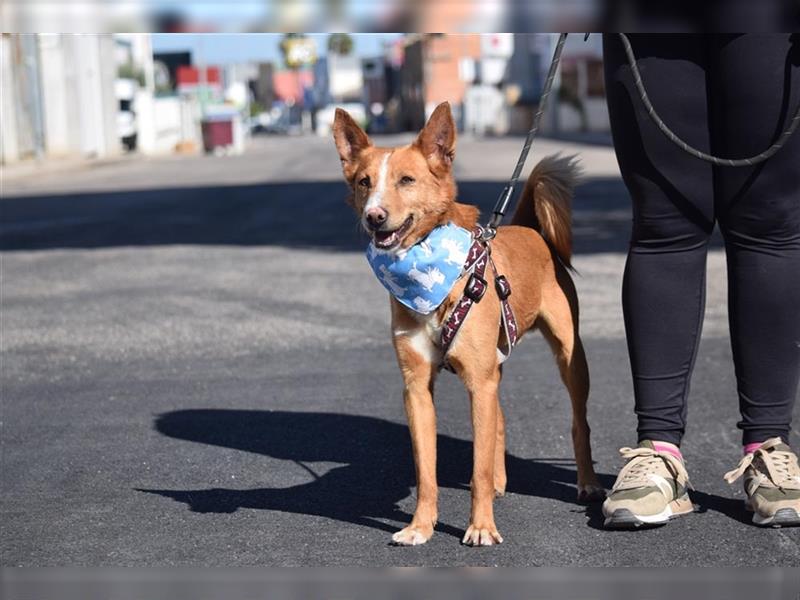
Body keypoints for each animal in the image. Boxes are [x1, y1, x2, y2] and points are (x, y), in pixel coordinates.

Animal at [334, 104, 604, 548]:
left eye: (406, 180)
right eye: (364, 182)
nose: (375, 217)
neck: (430, 273)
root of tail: (529, 228)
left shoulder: (478, 381)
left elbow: (476, 467)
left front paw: (481, 527)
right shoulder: (417, 388)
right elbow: (427, 471)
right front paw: (420, 526)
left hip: (571, 355)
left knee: (578, 422)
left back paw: (587, 482)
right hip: (496, 364)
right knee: (501, 419)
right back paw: (500, 482)